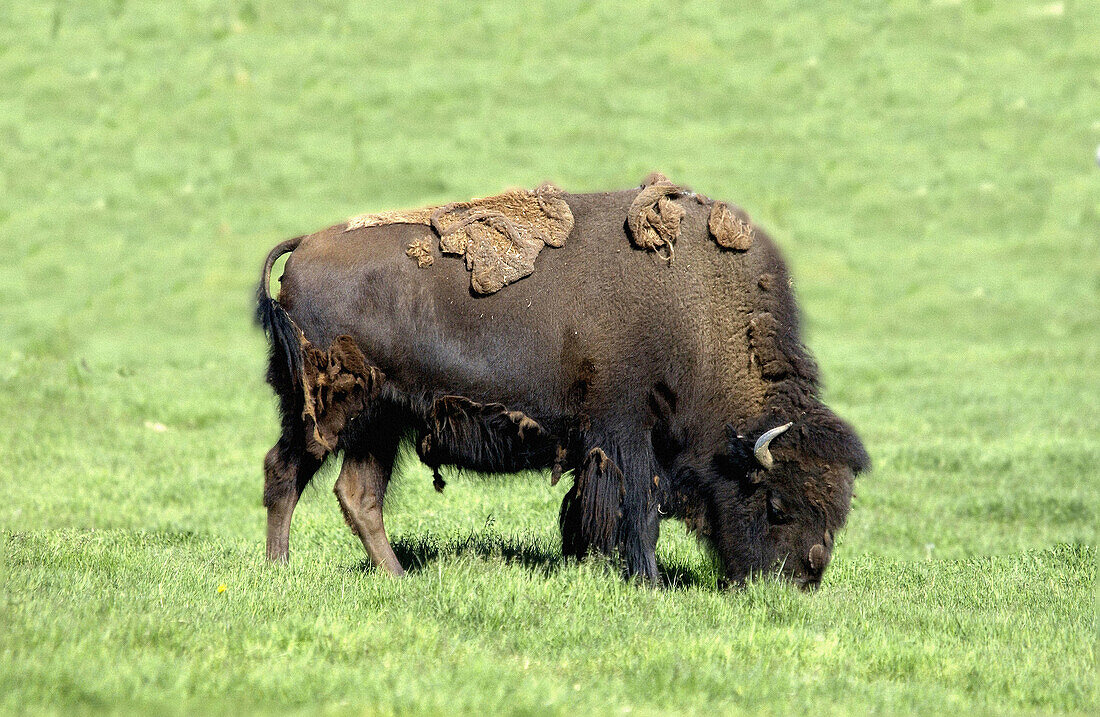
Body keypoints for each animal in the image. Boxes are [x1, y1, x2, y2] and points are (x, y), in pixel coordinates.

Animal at [257, 172, 866, 589]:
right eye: (777, 505)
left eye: (838, 510)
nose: (801, 581)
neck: (698, 314)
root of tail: (303, 246)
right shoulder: (625, 433)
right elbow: (639, 511)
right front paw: (648, 584)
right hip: (324, 413)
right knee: (285, 471)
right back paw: (280, 570)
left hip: (381, 423)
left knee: (358, 494)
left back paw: (400, 577)